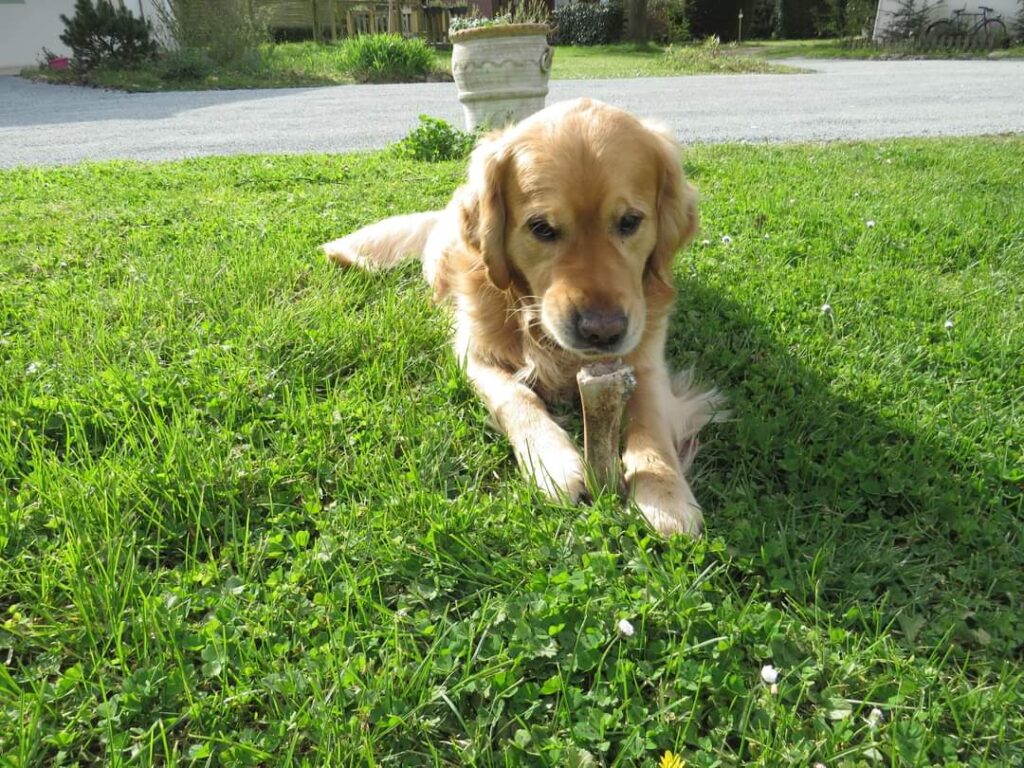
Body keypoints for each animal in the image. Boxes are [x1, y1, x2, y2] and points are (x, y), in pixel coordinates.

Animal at [323, 99, 724, 536]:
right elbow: (515, 396)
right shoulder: (473, 354)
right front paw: (553, 461)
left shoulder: (647, 362)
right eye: (541, 228)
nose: (602, 332)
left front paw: (665, 494)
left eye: (630, 221)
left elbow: (650, 422)